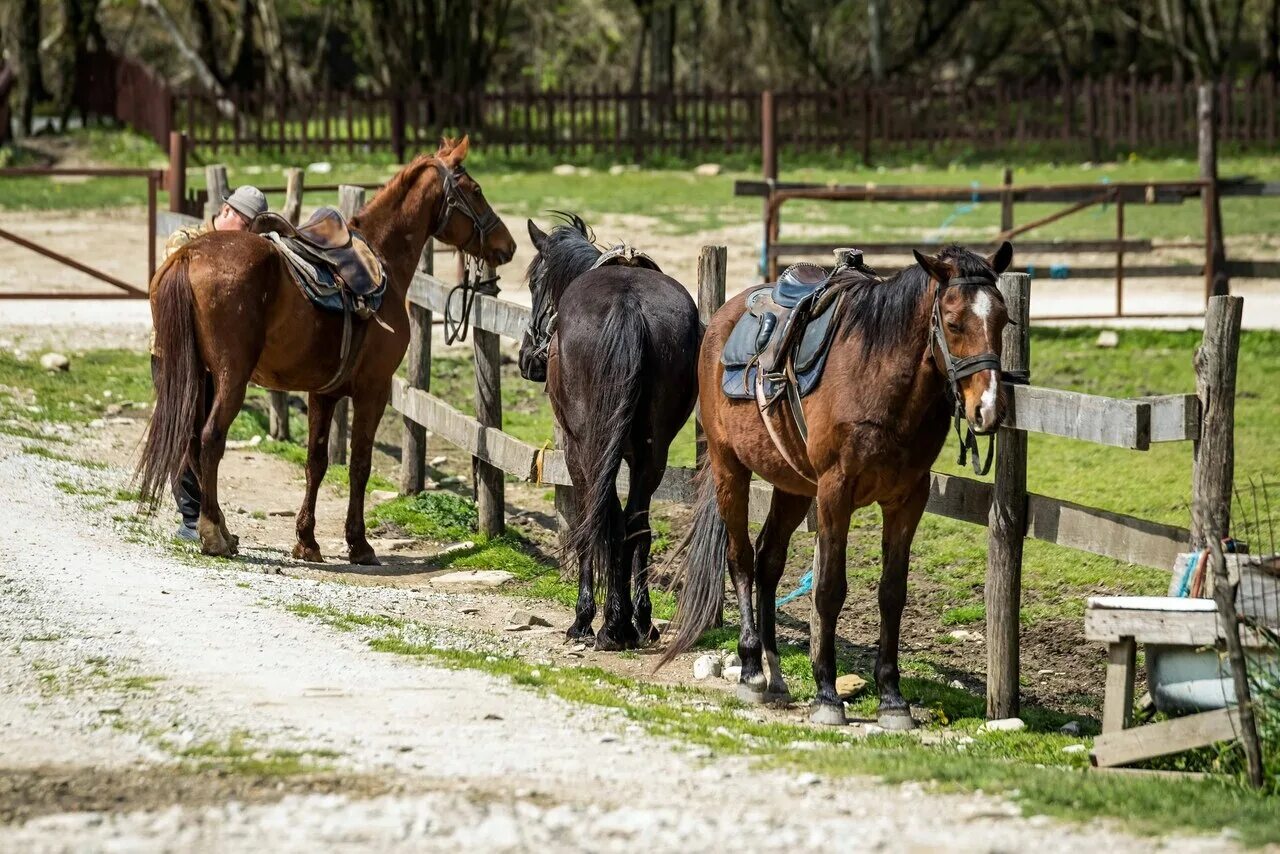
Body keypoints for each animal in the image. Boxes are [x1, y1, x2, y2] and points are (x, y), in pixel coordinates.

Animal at [138, 136, 514, 563]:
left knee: (189, 444)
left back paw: (222, 530)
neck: (382, 260)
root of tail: (188, 254)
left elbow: (316, 462)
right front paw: (359, 543)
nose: (507, 245)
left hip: (198, 377)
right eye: (476, 191)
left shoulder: (324, 393)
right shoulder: (373, 390)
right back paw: (214, 535)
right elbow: (360, 464)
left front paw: (307, 540)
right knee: (210, 440)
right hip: (230, 379)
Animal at [517, 217, 701, 650]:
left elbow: (593, 520)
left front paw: (591, 618)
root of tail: (627, 306)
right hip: (653, 451)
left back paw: (600, 623)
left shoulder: (576, 451)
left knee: (602, 519)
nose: (527, 359)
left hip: (591, 446)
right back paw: (639, 623)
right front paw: (629, 619)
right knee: (636, 524)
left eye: (534, 283)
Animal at [660, 241, 1008, 727]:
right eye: (954, 322)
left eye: (1004, 321)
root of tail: (724, 316)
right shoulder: (834, 492)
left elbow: (892, 593)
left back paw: (775, 673)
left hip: (791, 485)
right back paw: (751, 671)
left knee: (768, 560)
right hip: (730, 467)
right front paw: (827, 694)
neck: (878, 376)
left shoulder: (908, 499)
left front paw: (892, 697)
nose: (988, 409)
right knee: (742, 559)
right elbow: (828, 589)